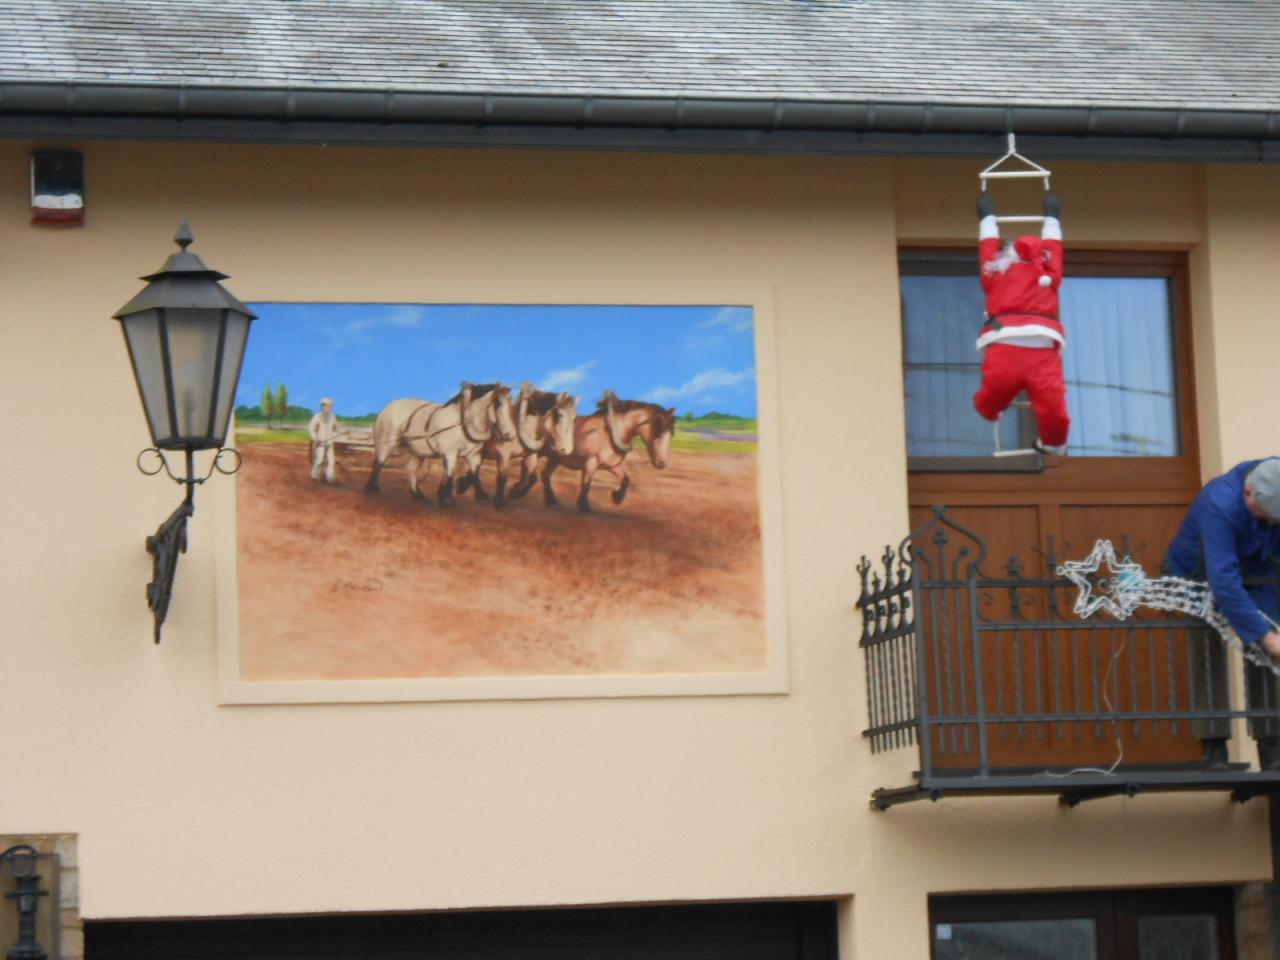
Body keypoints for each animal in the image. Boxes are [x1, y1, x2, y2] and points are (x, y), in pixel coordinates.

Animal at [364, 382, 517, 506]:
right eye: (498, 404)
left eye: (511, 404)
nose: (510, 435)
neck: (462, 422)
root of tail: (389, 406)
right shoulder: (450, 453)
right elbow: (450, 473)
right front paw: (447, 500)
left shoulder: (472, 454)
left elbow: (475, 472)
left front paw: (479, 494)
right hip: (387, 443)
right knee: (378, 463)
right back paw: (372, 489)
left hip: (418, 451)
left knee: (410, 469)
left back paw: (418, 496)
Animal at [540, 390, 677, 513]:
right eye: (657, 432)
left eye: (671, 434)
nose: (662, 463)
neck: (611, 432)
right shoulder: (590, 462)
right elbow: (586, 484)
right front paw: (584, 506)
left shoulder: (612, 465)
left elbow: (625, 480)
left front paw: (617, 497)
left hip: (554, 459)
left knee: (545, 475)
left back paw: (551, 501)